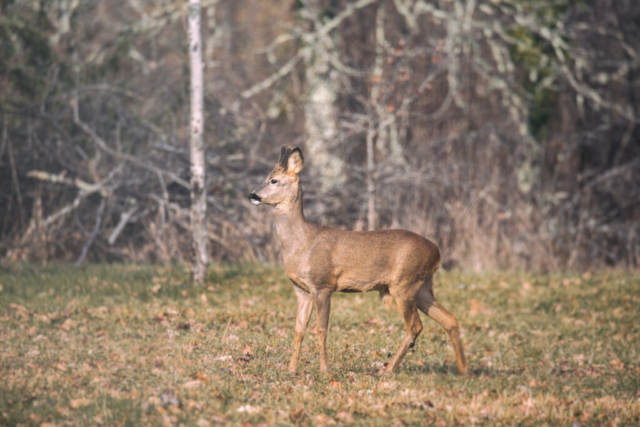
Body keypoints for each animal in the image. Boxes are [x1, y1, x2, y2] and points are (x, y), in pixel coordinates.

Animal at [248, 149, 468, 376]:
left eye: (273, 180)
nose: (252, 195)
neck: (302, 243)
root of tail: (437, 252)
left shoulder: (323, 285)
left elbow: (322, 329)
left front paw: (324, 371)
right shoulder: (302, 289)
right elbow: (299, 329)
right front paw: (291, 370)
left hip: (404, 284)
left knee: (415, 326)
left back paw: (388, 370)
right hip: (420, 286)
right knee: (449, 319)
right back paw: (463, 370)